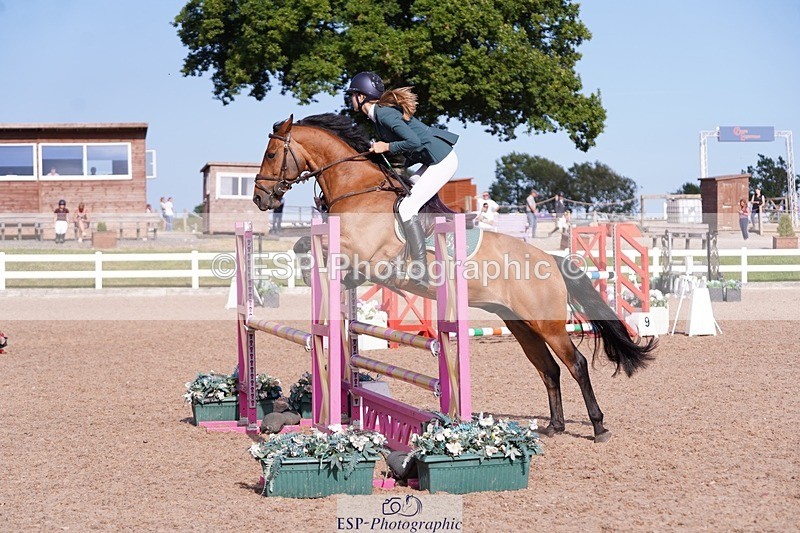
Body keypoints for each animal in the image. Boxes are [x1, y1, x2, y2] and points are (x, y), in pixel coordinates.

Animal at [252, 113, 655, 443]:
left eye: (271, 154)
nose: (259, 198)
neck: (359, 190)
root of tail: (552, 261)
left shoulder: (369, 257)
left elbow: (326, 255)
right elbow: (311, 250)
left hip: (548, 324)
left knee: (576, 365)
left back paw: (598, 426)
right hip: (521, 325)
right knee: (549, 370)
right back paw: (555, 427)